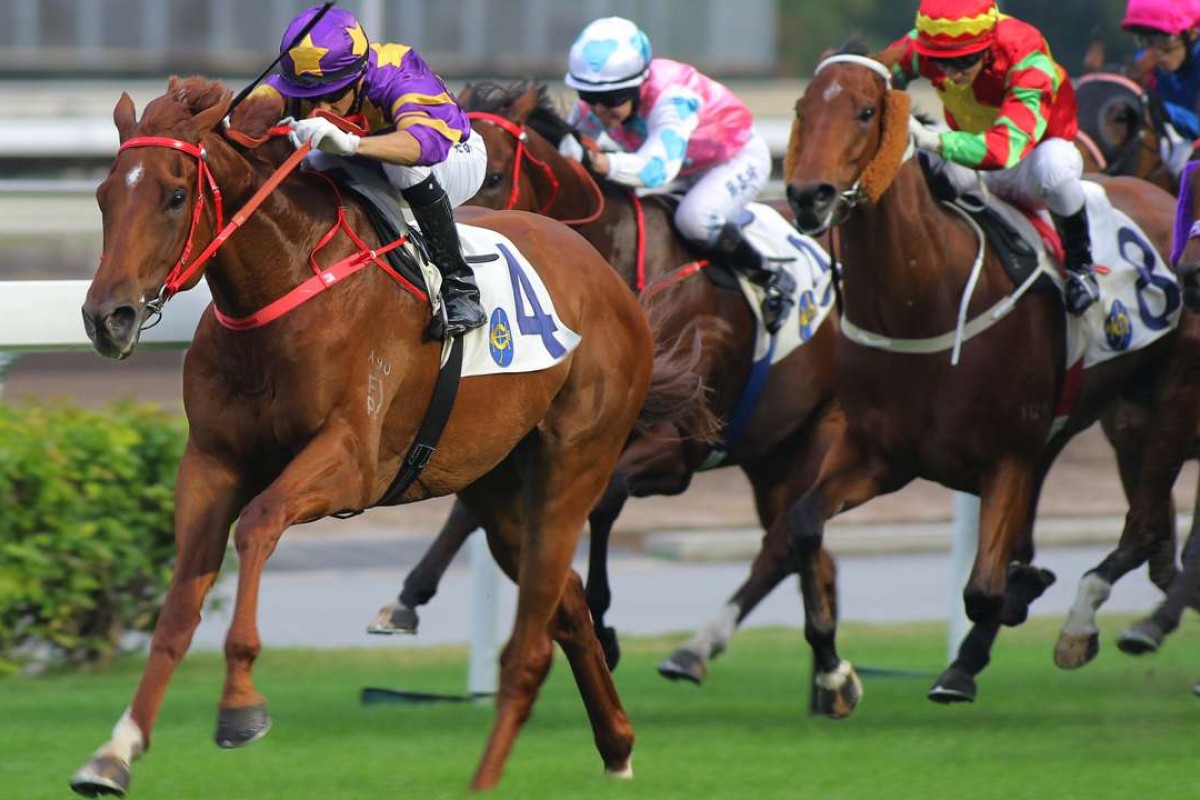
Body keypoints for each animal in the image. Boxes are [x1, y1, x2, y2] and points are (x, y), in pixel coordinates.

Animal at [70, 74, 710, 796]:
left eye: (175, 195)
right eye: (104, 194)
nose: (107, 317)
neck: (287, 283)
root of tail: (610, 279)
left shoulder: (350, 460)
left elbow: (258, 525)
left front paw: (239, 707)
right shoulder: (211, 461)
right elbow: (179, 606)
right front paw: (116, 751)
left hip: (575, 460)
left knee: (537, 631)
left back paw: (510, 768)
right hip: (497, 485)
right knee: (566, 604)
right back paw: (617, 745)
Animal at [369, 79, 849, 681]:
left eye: (494, 175)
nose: (446, 257)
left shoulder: (677, 446)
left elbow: (602, 501)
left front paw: (602, 623)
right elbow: (468, 511)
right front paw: (406, 599)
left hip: (822, 429)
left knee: (794, 536)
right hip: (771, 453)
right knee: (801, 544)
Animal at [777, 56, 1190, 714]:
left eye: (865, 112)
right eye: (801, 110)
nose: (807, 195)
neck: (923, 301)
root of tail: (1161, 195)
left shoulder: (1008, 456)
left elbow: (984, 588)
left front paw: (1005, 614)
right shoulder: (878, 453)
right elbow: (805, 523)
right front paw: (834, 674)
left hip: (1168, 403)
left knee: (1145, 521)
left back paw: (1081, 626)